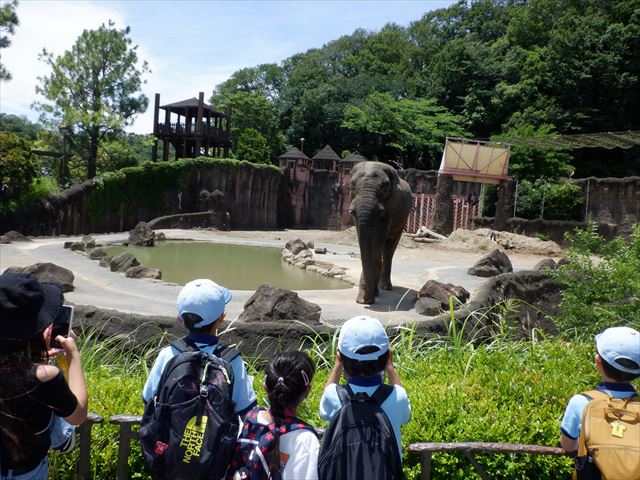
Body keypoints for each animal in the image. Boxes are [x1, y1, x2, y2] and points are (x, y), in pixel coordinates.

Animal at [350, 161, 410, 304]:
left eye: (384, 190)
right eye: (352, 187)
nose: (366, 300)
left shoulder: (391, 208)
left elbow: (377, 242)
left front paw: (366, 299)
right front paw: (366, 298)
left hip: (402, 221)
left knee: (389, 248)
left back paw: (386, 287)